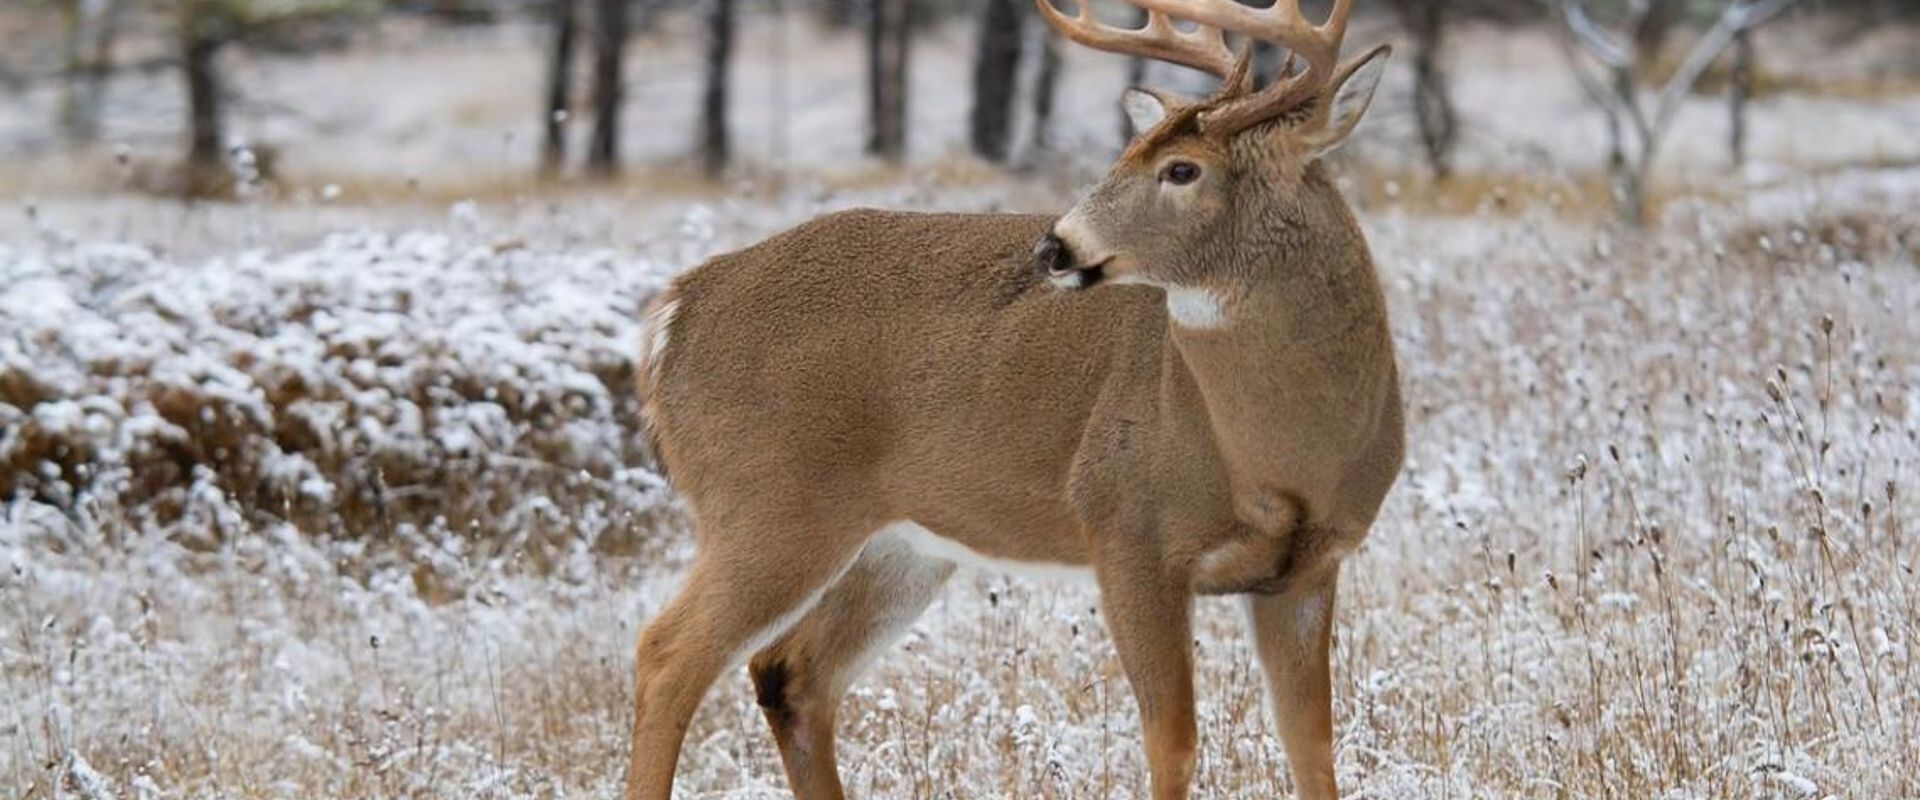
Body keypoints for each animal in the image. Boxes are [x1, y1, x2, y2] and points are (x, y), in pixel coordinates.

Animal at [625, 0, 1402, 797]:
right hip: (766, 504)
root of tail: (677, 310)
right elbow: (1173, 743)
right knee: (667, 655)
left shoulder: (1310, 567)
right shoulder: (1126, 527)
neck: (1280, 461)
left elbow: (1311, 745)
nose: (1054, 247)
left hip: (897, 545)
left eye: (1182, 168)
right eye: (1126, 153)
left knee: (791, 673)